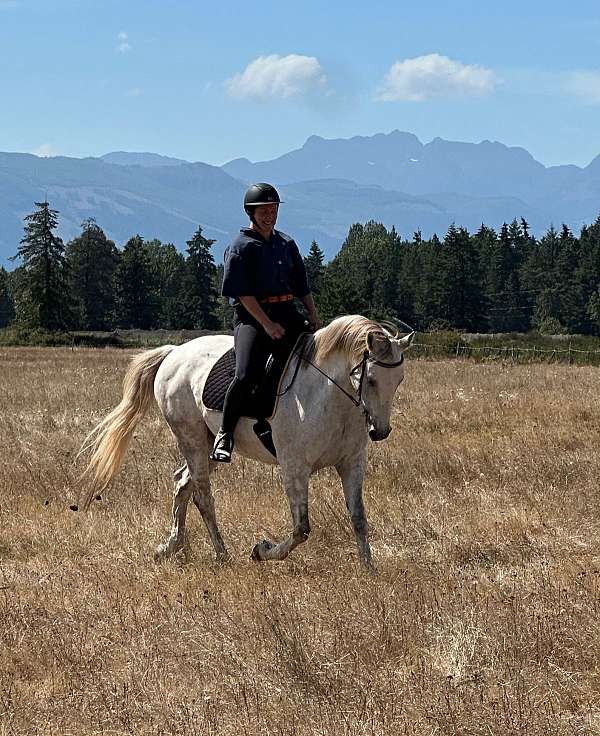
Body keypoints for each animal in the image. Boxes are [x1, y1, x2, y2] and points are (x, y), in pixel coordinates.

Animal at [82, 314, 412, 564]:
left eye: (399, 380)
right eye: (371, 380)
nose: (380, 431)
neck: (328, 395)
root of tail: (174, 352)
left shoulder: (351, 465)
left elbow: (358, 518)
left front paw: (368, 569)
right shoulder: (294, 468)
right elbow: (301, 529)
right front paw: (261, 551)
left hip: (208, 443)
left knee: (183, 484)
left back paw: (172, 545)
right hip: (192, 439)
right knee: (203, 495)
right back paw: (222, 554)